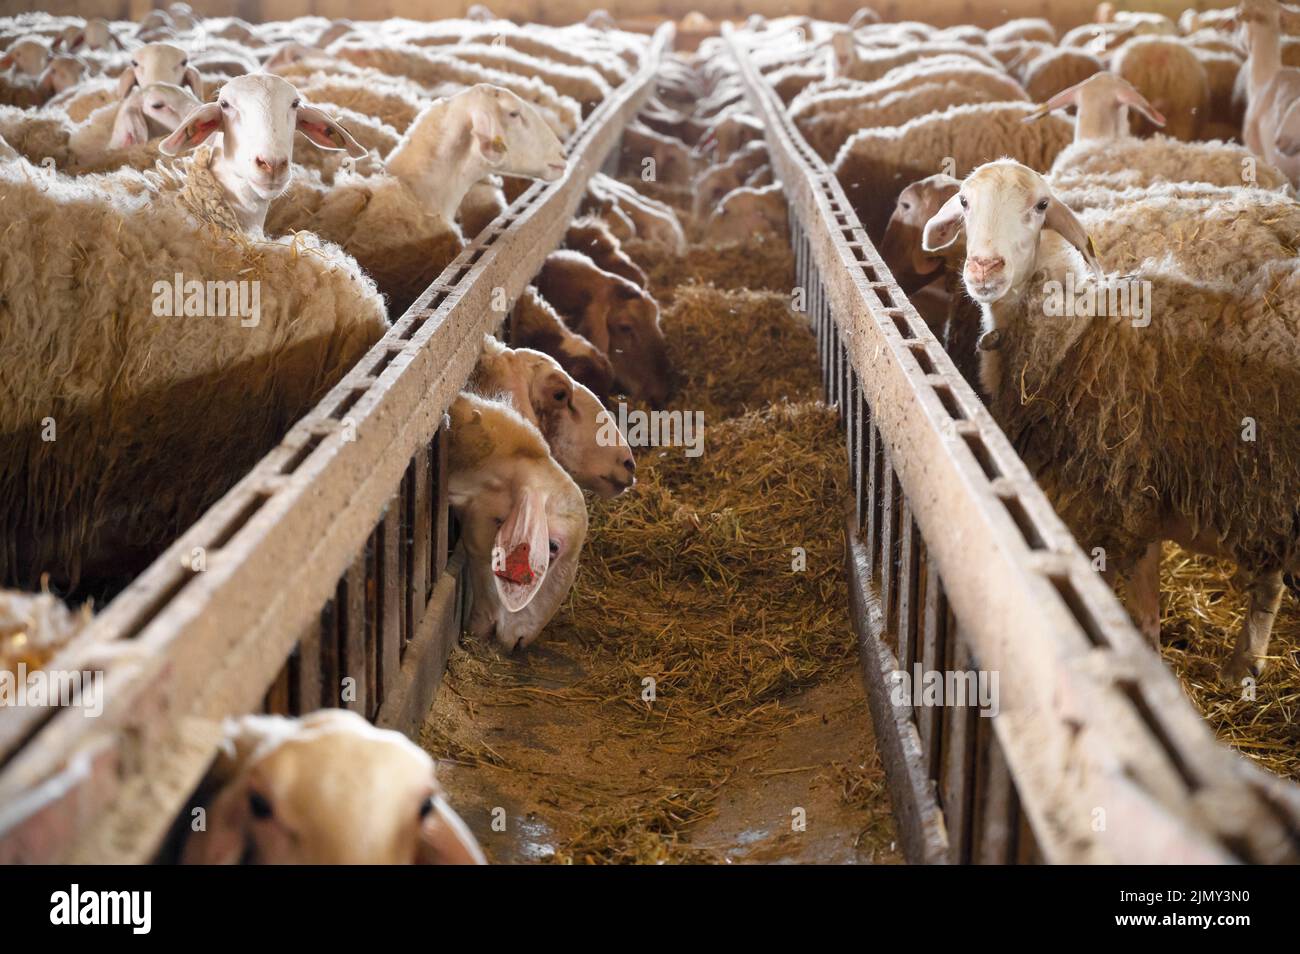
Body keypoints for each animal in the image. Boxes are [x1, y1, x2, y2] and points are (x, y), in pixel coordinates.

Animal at [920, 159, 1300, 681]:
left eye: (1041, 205)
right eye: (963, 201)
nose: (983, 268)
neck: (1076, 333)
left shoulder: (1118, 505)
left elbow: (1137, 619)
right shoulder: (1146, 510)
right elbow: (1146, 617)